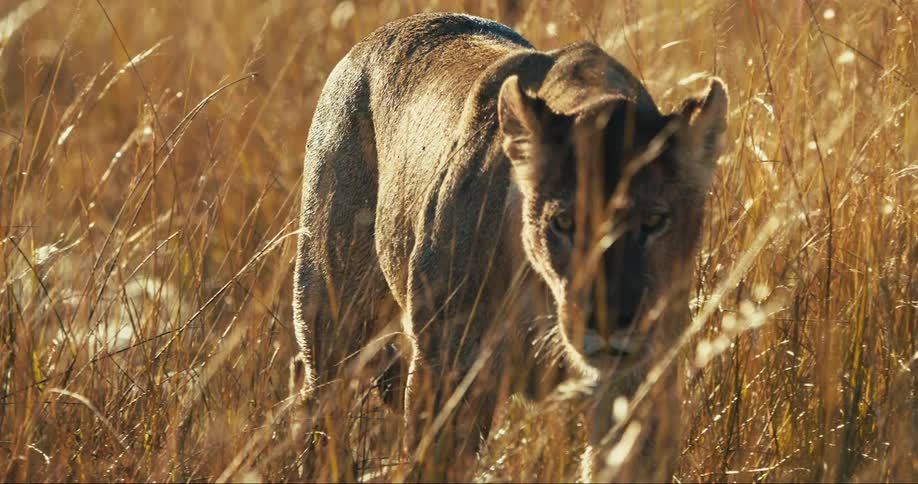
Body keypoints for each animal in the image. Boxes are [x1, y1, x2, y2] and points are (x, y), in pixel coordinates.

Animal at [290, 12, 727, 481]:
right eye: (564, 223)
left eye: (653, 222)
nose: (610, 321)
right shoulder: (445, 379)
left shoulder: (641, 387)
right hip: (333, 314)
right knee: (320, 403)